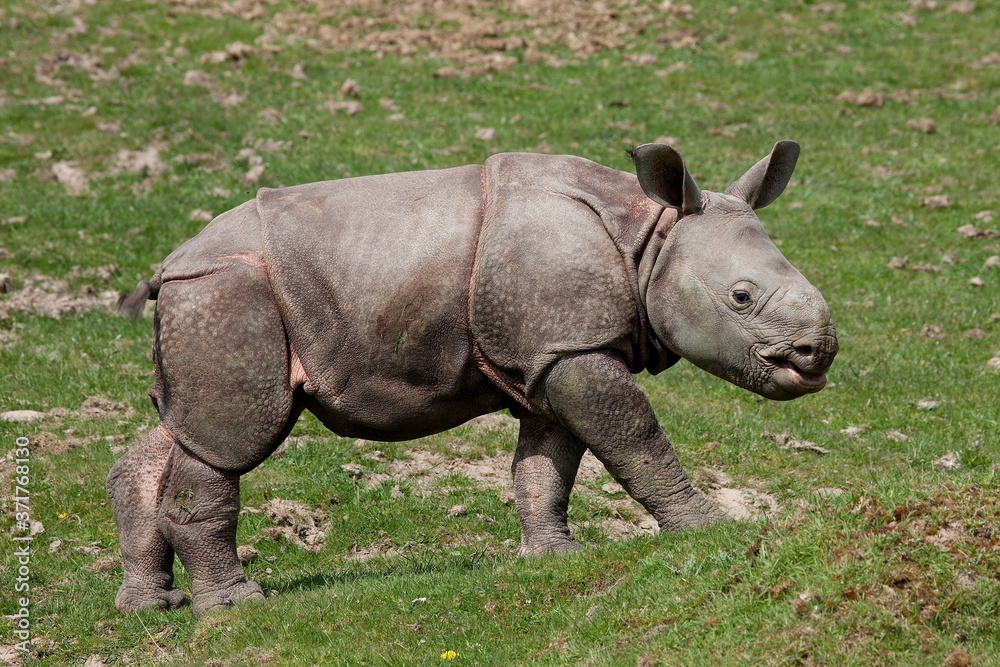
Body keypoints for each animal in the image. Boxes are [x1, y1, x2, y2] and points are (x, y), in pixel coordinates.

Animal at [107, 140, 838, 617]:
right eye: (741, 297)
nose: (817, 353)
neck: (647, 240)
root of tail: (169, 265)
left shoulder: (552, 350)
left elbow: (547, 463)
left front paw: (553, 558)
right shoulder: (572, 345)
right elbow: (635, 436)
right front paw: (709, 526)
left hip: (206, 299)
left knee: (184, 428)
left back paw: (152, 606)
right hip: (228, 291)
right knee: (231, 440)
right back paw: (236, 607)